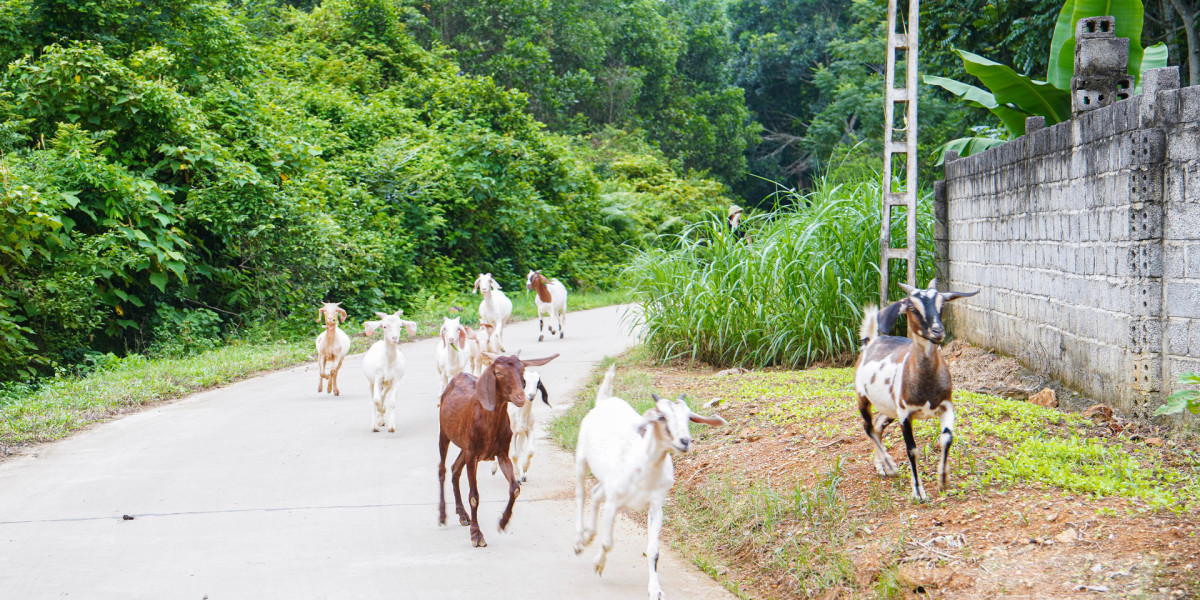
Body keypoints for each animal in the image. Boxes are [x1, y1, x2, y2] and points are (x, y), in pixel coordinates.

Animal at [436, 352, 556, 547]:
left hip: (465, 446)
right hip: (444, 434)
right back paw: (442, 515)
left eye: (521, 372)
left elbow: (515, 488)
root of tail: (457, 377)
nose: (521, 397)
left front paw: (503, 521)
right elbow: (474, 496)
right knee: (442, 470)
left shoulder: (501, 454)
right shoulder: (473, 456)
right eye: (498, 373)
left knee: (455, 469)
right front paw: (477, 535)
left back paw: (462, 515)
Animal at [571, 362, 720, 597]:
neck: (644, 467)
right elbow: (608, 542)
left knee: (594, 493)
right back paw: (578, 541)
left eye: (688, 417)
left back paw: (588, 536)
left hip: (606, 479)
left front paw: (655, 590)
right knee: (580, 494)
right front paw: (598, 564)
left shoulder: (656, 504)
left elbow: (653, 551)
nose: (685, 441)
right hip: (581, 458)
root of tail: (604, 401)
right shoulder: (613, 502)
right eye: (661, 417)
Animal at [854, 279, 974, 501]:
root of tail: (870, 342)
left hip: (889, 408)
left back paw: (882, 466)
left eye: (941, 304)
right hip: (863, 397)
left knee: (878, 425)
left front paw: (943, 479)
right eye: (911, 306)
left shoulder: (946, 407)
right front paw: (918, 491)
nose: (937, 331)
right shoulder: (905, 415)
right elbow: (912, 450)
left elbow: (947, 438)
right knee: (868, 427)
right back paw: (891, 467)